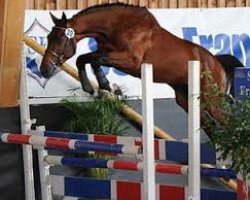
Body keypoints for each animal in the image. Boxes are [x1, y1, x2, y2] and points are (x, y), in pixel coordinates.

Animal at [40, 2, 244, 138]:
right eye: (48, 37)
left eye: (59, 38)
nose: (44, 70)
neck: (119, 26)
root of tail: (216, 62)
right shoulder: (105, 52)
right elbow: (84, 59)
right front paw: (98, 88)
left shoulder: (131, 62)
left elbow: (94, 60)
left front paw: (106, 87)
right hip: (186, 99)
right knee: (210, 126)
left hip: (211, 99)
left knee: (226, 123)